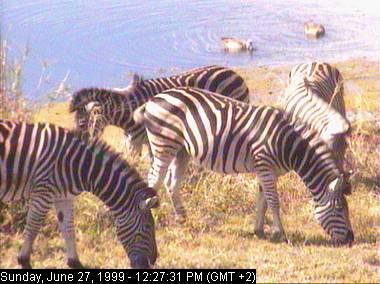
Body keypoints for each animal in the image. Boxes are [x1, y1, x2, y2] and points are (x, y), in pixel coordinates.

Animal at [0, 119, 159, 268]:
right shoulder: (43, 191)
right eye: (147, 228)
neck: (79, 164)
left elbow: (68, 228)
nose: (151, 262)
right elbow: (33, 226)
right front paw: (24, 261)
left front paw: (75, 263)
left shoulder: (64, 197)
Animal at [136, 87, 354, 245]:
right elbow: (273, 201)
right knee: (154, 178)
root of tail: (153, 99)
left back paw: (183, 219)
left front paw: (259, 230)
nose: (350, 240)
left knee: (172, 183)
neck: (288, 144)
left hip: (182, 151)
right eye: (339, 210)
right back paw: (148, 216)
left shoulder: (266, 170)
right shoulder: (264, 165)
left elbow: (262, 200)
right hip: (164, 144)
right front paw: (280, 233)